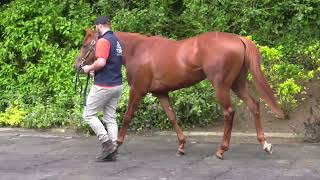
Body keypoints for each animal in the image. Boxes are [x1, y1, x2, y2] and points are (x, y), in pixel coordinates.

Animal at [75, 29, 284, 159]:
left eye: (86, 45)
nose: (77, 66)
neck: (138, 50)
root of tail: (238, 39)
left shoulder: (138, 90)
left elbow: (127, 117)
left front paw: (116, 144)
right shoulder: (161, 93)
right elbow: (172, 117)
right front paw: (182, 146)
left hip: (221, 86)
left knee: (229, 113)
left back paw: (221, 150)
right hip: (237, 84)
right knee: (254, 105)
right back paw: (265, 144)